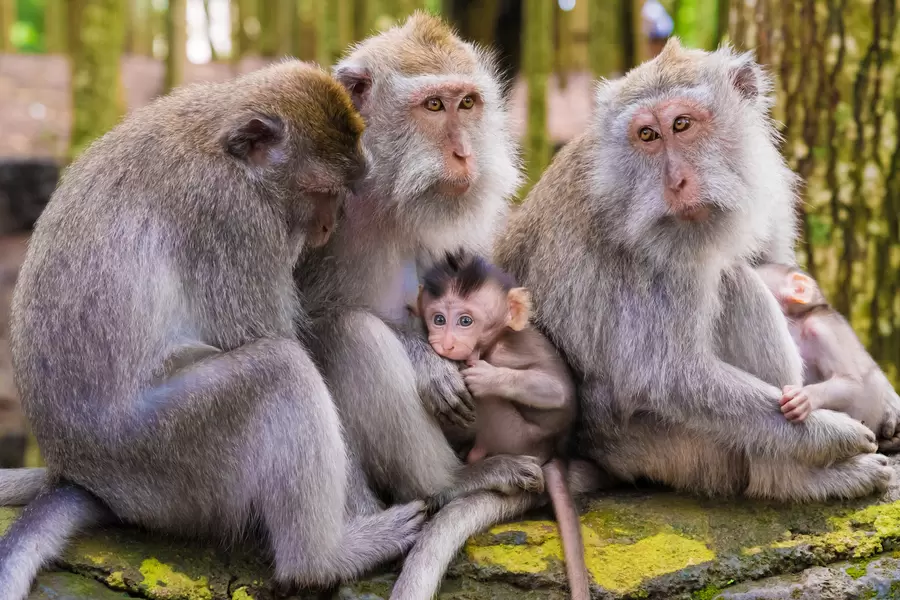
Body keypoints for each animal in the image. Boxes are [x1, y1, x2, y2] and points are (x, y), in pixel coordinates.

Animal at [0, 60, 427, 600]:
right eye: (322, 193)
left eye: (342, 196)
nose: (327, 228)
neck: (224, 145)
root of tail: (78, 472)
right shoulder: (234, 219)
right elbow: (273, 338)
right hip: (165, 457)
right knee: (278, 370)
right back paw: (322, 560)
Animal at [413, 251, 590, 600]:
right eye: (438, 319)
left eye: (465, 321)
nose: (446, 343)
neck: (493, 342)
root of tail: (553, 452)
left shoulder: (510, 352)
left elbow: (557, 392)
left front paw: (485, 376)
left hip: (516, 435)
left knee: (487, 401)